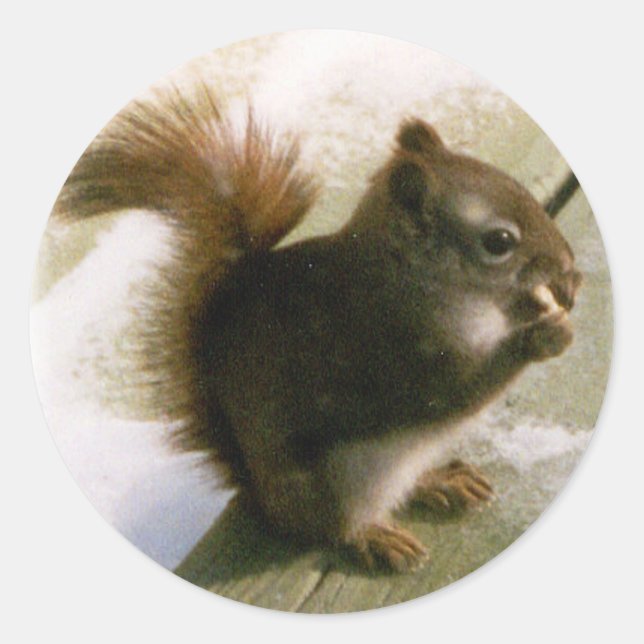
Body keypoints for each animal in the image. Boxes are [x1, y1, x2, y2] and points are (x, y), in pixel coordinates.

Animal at [53, 82, 582, 573]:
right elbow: (459, 391)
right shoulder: (395, 353)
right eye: (499, 241)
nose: (570, 266)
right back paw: (375, 537)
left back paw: (441, 480)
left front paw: (552, 300)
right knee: (329, 530)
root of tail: (265, 500)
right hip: (331, 484)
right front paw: (541, 337)